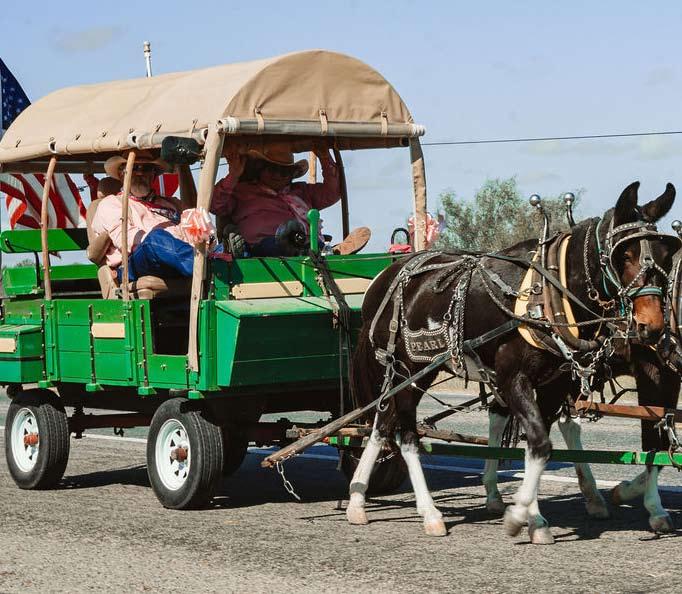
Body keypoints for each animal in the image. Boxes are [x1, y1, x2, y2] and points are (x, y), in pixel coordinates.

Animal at [345, 181, 677, 543]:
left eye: (665, 255)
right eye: (624, 255)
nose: (652, 326)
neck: (546, 294)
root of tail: (384, 278)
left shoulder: (554, 383)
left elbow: (539, 445)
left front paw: (532, 516)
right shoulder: (512, 377)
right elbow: (542, 442)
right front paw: (521, 515)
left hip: (414, 372)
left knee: (383, 423)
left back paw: (358, 500)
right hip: (407, 369)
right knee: (403, 432)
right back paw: (428, 512)